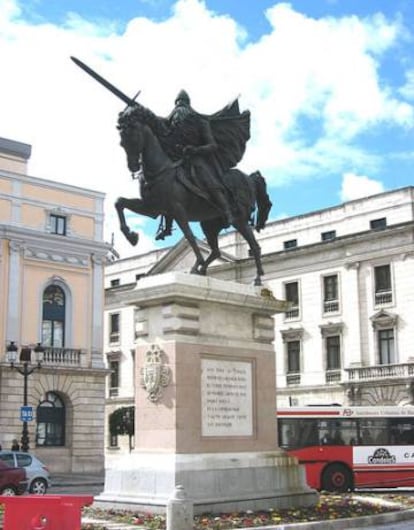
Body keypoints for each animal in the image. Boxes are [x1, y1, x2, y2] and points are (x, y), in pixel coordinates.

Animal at [115, 110, 274, 284]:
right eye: (122, 142)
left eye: (133, 137)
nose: (133, 167)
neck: (160, 170)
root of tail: (250, 178)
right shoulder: (152, 208)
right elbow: (119, 202)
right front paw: (131, 236)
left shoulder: (177, 209)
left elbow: (189, 236)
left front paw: (197, 262)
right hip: (210, 224)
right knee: (216, 251)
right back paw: (202, 270)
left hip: (239, 219)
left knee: (254, 246)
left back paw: (257, 279)